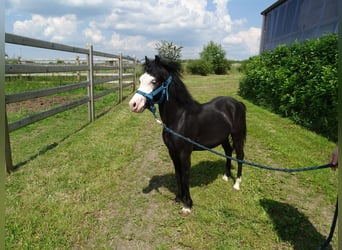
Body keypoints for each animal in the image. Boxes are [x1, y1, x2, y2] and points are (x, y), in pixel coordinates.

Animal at [129, 55, 246, 214]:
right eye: (140, 80)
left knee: (239, 156)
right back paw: (226, 176)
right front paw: (179, 197)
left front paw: (187, 205)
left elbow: (185, 175)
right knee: (228, 151)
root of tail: (237, 103)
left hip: (237, 135)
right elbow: (178, 173)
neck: (179, 118)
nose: (133, 105)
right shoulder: (172, 151)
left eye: (154, 81)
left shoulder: (184, 153)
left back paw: (237, 184)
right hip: (223, 138)